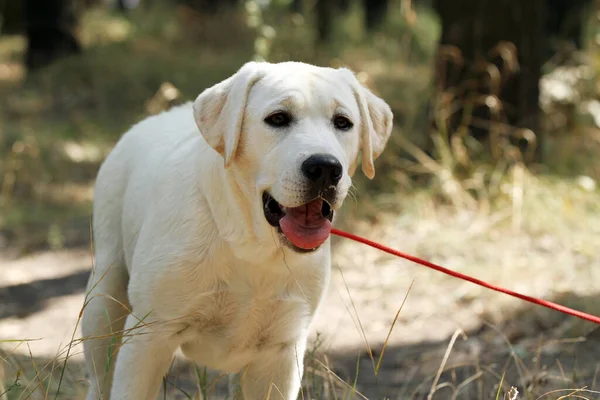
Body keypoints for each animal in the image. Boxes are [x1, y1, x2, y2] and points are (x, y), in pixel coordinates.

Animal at [82, 60, 394, 400]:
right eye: (278, 118)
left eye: (342, 122)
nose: (325, 167)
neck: (251, 245)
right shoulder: (149, 335)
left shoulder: (281, 353)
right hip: (103, 298)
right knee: (99, 376)